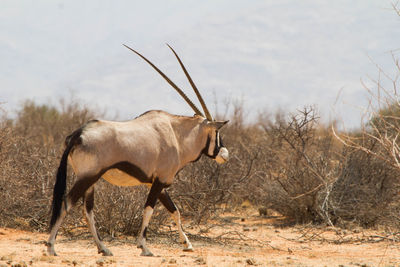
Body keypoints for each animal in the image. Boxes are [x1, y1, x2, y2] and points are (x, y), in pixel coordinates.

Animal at [46, 44, 230, 258]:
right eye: (217, 132)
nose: (225, 154)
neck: (176, 135)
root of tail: (78, 134)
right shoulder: (159, 181)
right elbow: (149, 209)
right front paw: (144, 246)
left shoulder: (157, 183)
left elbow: (174, 210)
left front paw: (187, 244)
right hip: (88, 177)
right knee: (67, 202)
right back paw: (51, 246)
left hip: (90, 180)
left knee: (87, 210)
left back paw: (103, 248)